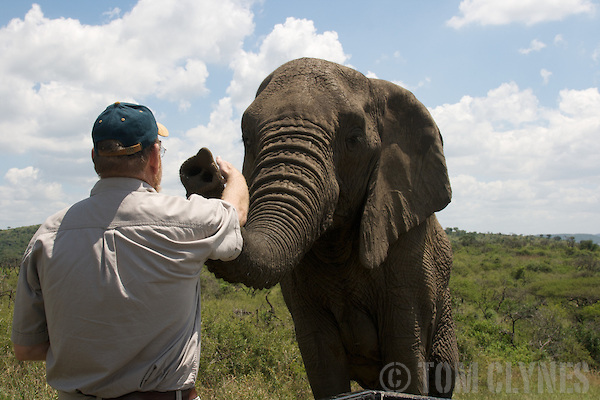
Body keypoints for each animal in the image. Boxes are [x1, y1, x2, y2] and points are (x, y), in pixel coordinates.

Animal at [180, 57, 458, 398]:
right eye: (247, 139)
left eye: (354, 139)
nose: (203, 166)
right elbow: (322, 360)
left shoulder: (410, 252)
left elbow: (405, 354)